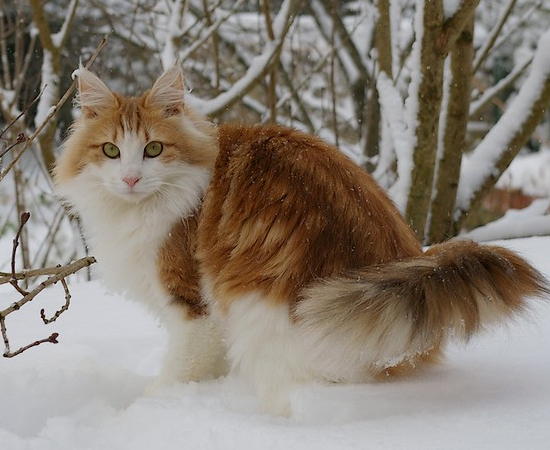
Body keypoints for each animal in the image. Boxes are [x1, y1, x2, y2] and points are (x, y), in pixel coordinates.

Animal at [55, 66, 548, 414]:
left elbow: (179, 369)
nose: (131, 178)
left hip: (258, 309)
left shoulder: (194, 308)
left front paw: (152, 407)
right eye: (111, 151)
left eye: (153, 149)